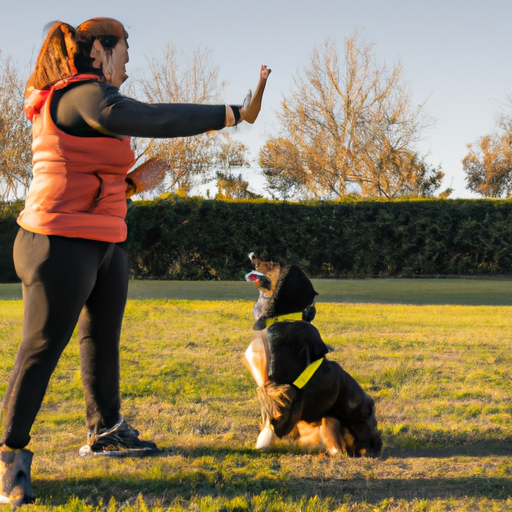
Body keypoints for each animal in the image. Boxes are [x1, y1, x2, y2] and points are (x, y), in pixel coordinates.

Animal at [242, 254, 382, 458]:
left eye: (271, 263)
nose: (252, 254)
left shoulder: (283, 384)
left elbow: (275, 406)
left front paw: (265, 438)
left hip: (350, 419)